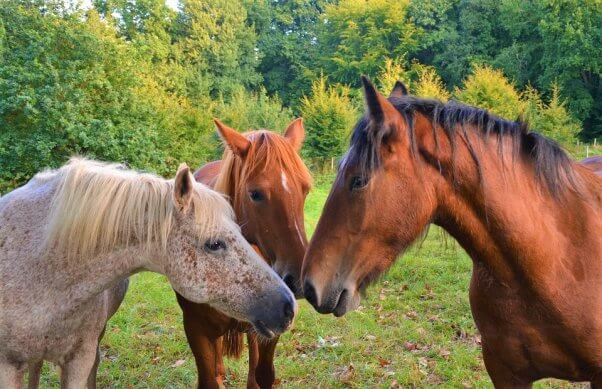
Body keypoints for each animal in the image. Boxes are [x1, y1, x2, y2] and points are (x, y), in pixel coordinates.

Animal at [175, 118, 310, 388]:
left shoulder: (271, 327)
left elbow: (263, 374)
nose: (298, 280)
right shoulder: (196, 330)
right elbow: (209, 379)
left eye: (305, 189)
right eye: (255, 194)